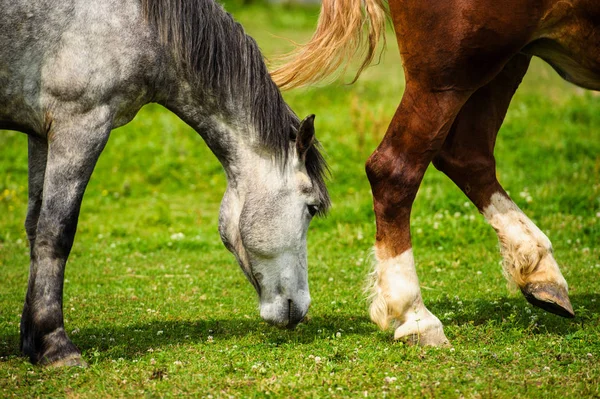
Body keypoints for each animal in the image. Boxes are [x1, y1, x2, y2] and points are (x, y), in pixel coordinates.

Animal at [0, 0, 328, 368]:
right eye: (312, 208)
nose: (302, 308)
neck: (141, 24)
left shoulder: (41, 133)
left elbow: (34, 229)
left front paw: (33, 340)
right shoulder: (79, 125)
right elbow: (55, 233)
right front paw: (55, 345)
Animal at [274, 0, 600, 346]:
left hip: (503, 60)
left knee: (467, 155)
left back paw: (540, 271)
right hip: (454, 70)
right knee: (394, 168)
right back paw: (416, 316)